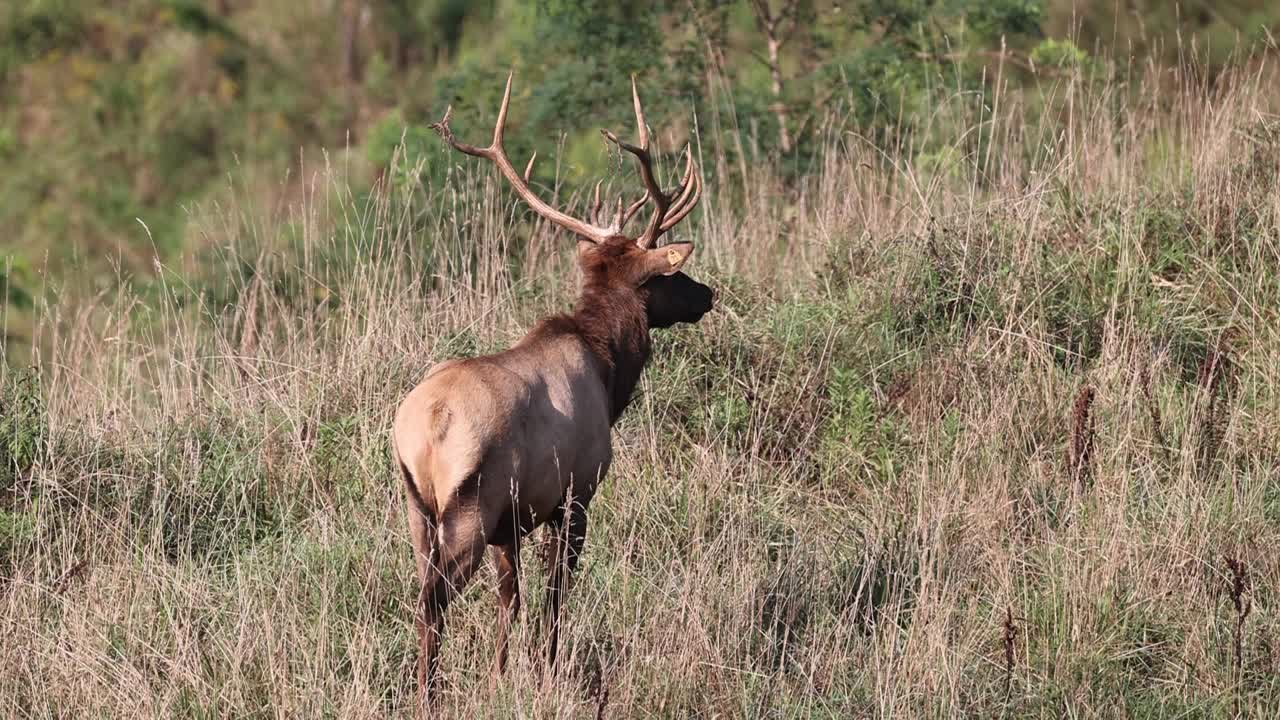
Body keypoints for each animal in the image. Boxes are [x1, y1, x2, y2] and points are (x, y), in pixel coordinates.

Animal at [389, 74, 711, 707]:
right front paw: (546, 670)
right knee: (434, 601)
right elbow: (556, 596)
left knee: (425, 596)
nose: (707, 294)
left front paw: (502, 675)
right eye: (667, 275)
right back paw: (428, 696)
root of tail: (423, 430)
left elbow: (510, 602)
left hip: (417, 511)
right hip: (467, 507)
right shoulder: (576, 492)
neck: (612, 375)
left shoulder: (511, 524)